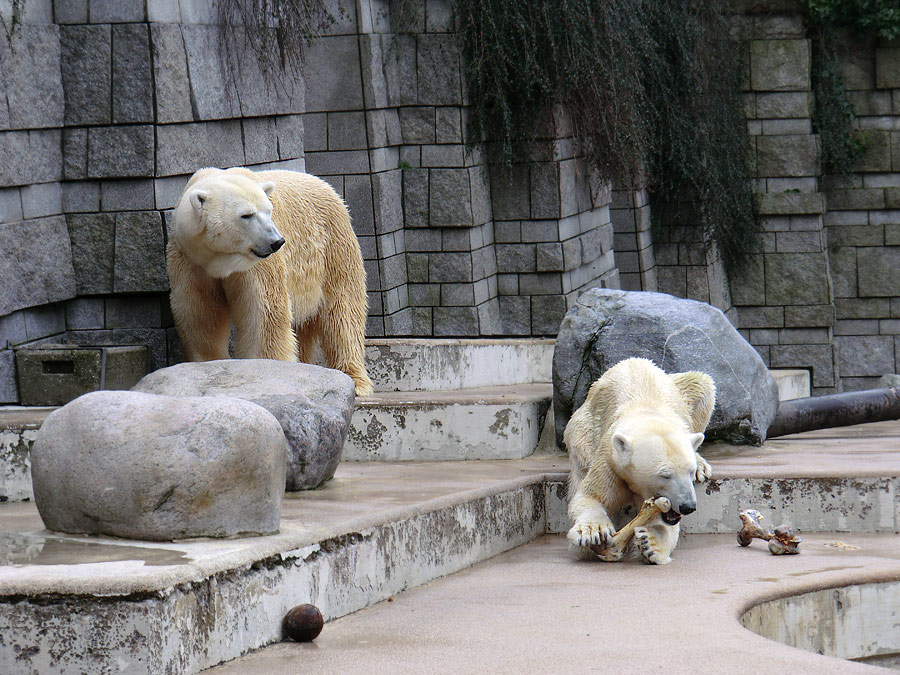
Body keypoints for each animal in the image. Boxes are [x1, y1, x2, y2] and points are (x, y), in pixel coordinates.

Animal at [168, 166, 372, 396]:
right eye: (246, 215)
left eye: (268, 211)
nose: (277, 241)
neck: (220, 259)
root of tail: (324, 184)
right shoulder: (190, 261)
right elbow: (201, 313)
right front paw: (207, 365)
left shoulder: (257, 264)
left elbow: (263, 313)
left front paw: (268, 370)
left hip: (333, 244)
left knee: (343, 311)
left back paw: (355, 379)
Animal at [564, 360, 716, 564]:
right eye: (665, 474)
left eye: (689, 472)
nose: (688, 506)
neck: (648, 414)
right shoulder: (610, 461)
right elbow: (590, 496)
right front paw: (593, 531)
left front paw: (651, 543)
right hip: (582, 432)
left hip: (683, 390)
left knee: (701, 384)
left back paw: (702, 464)